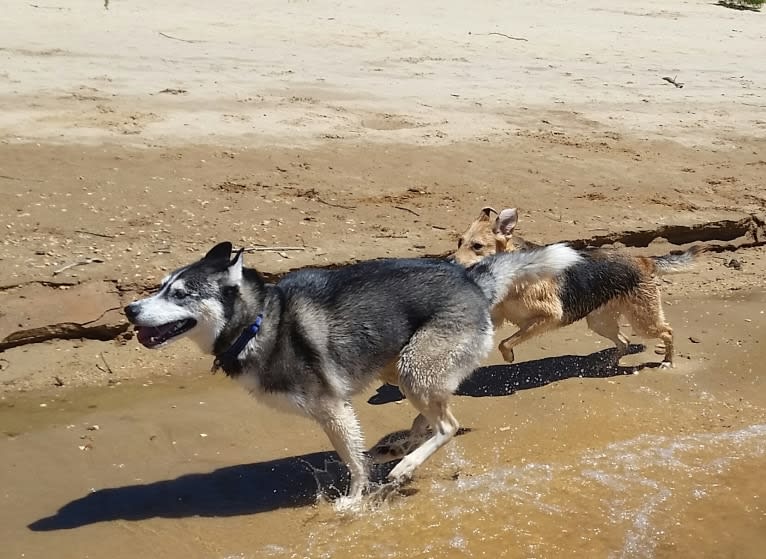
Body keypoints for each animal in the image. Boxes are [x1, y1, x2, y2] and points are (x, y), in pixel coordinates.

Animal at [126, 241, 584, 504]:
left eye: (180, 294)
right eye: (161, 286)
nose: (130, 309)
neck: (259, 322)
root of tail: (470, 279)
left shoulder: (332, 409)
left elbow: (352, 462)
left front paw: (353, 500)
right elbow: (357, 455)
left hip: (414, 368)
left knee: (447, 425)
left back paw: (405, 464)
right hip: (398, 369)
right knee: (433, 413)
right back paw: (398, 446)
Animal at [452, 208, 712, 370]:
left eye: (477, 246)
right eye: (459, 242)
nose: (450, 263)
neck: (513, 273)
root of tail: (643, 259)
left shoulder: (549, 317)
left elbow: (506, 342)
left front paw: (508, 355)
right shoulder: (495, 318)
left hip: (643, 321)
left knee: (666, 331)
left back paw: (667, 361)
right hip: (600, 321)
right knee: (624, 342)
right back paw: (606, 364)